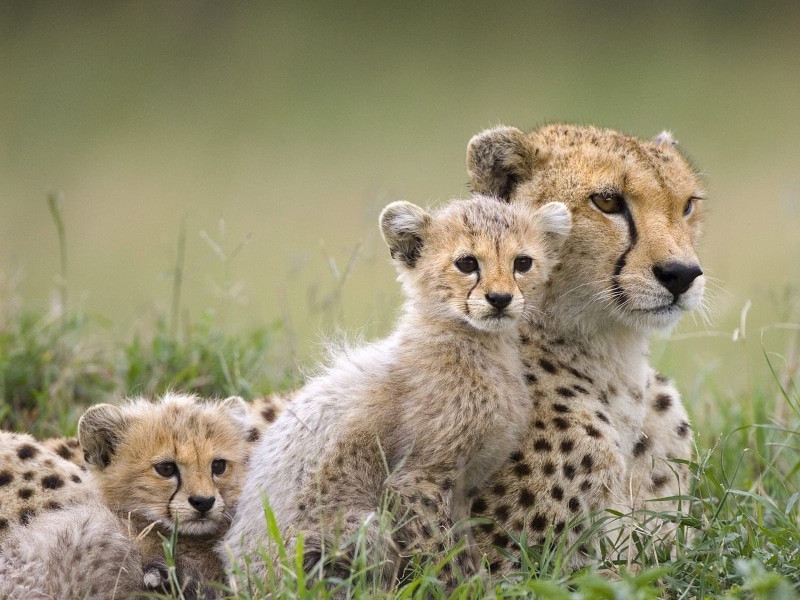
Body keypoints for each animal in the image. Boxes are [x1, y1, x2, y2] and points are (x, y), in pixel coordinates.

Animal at [223, 194, 572, 593]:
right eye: (467, 263)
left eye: (522, 263)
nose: (500, 299)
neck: (477, 344)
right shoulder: (416, 480)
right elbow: (440, 553)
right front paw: (453, 589)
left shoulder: (462, 488)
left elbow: (463, 547)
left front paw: (480, 585)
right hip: (357, 529)